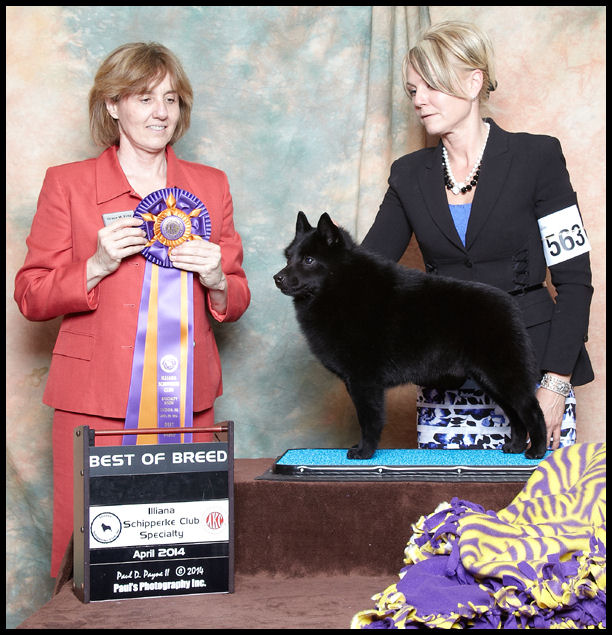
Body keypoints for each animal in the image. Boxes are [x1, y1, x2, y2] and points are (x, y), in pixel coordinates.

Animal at [274, 212, 547, 460]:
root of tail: (510, 305)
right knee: (515, 415)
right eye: (289, 258)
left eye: (309, 260)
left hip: (505, 376)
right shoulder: (356, 382)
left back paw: (537, 451)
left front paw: (364, 452)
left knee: (532, 410)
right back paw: (515, 447)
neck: (342, 287)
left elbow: (368, 419)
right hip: (490, 381)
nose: (277, 278)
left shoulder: (365, 381)